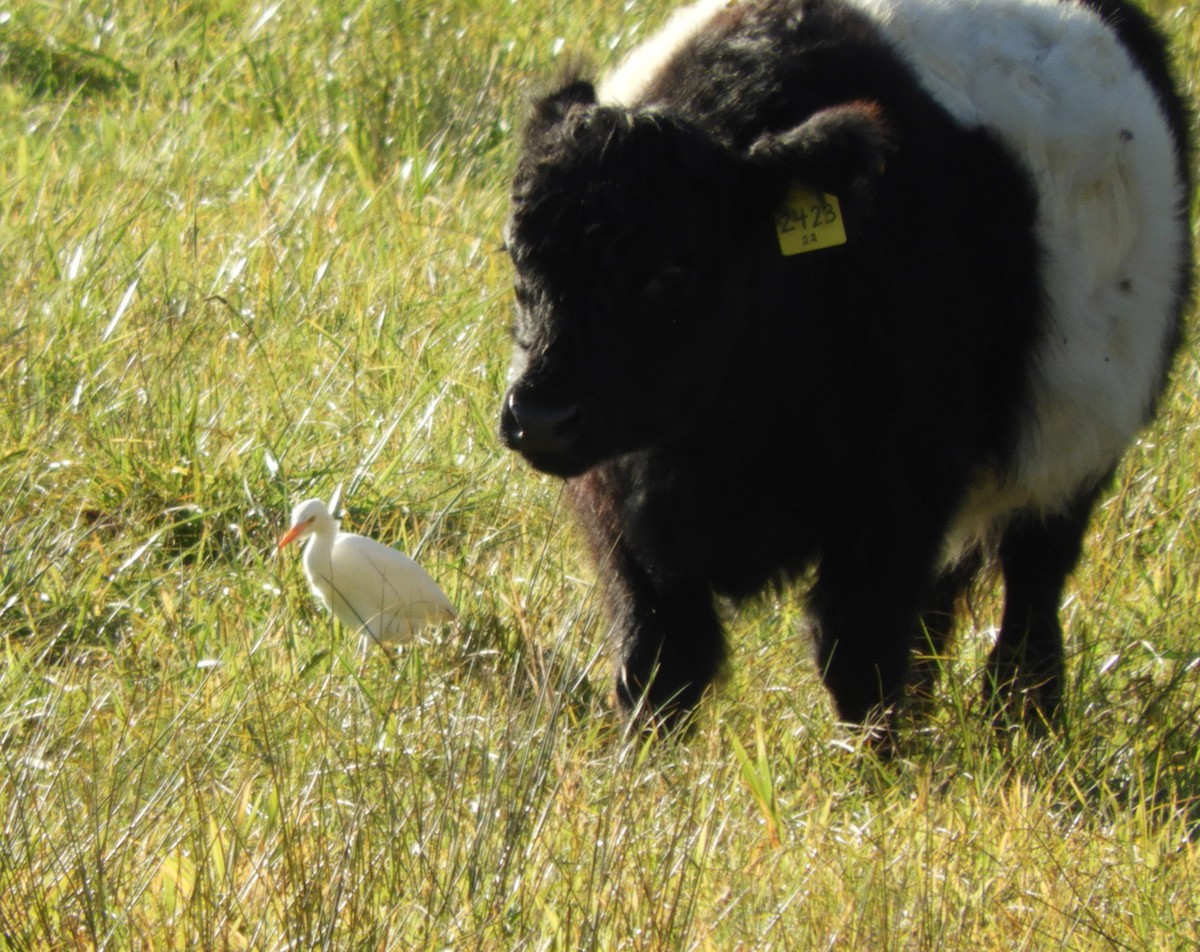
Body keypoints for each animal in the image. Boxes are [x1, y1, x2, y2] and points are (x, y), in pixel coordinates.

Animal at [499, 0, 1192, 738]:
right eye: (517, 254)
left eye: (673, 267)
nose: (540, 417)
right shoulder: (619, 504)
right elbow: (657, 659)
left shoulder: (900, 489)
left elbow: (857, 652)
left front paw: (878, 761)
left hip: (1075, 455)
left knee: (1032, 589)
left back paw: (1027, 718)